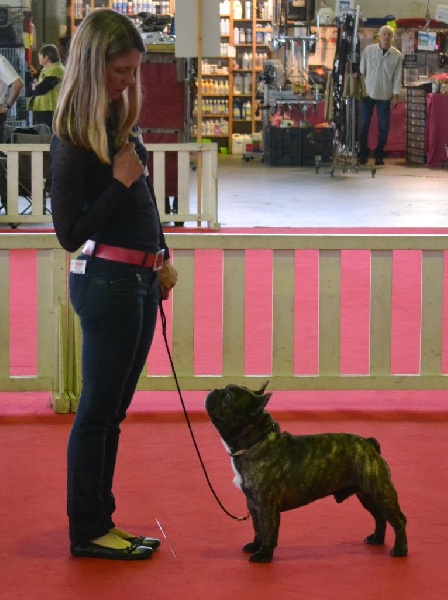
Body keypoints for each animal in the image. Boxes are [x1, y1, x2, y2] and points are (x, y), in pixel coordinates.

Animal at [205, 382, 408, 563]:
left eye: (227, 396)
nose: (214, 390)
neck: (256, 441)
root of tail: (369, 443)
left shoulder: (266, 505)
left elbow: (268, 530)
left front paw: (264, 555)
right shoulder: (253, 504)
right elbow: (258, 528)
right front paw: (256, 545)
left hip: (380, 492)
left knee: (398, 520)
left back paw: (400, 550)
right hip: (366, 495)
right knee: (380, 516)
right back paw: (377, 539)